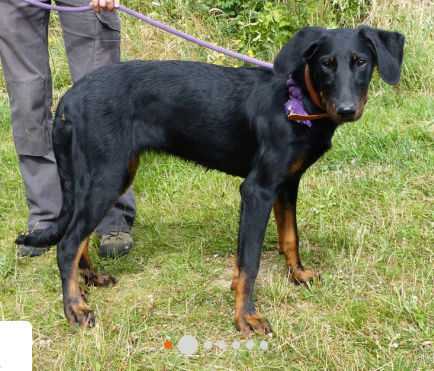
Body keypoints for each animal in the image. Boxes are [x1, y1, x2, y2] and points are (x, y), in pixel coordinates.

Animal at [16, 24, 404, 336]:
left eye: (361, 62)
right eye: (326, 63)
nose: (347, 110)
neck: (299, 102)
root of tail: (68, 99)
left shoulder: (287, 185)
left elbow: (289, 237)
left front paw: (299, 276)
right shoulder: (258, 189)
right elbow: (250, 262)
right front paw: (246, 317)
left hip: (110, 176)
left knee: (78, 236)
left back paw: (90, 281)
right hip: (107, 176)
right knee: (68, 243)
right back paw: (75, 308)